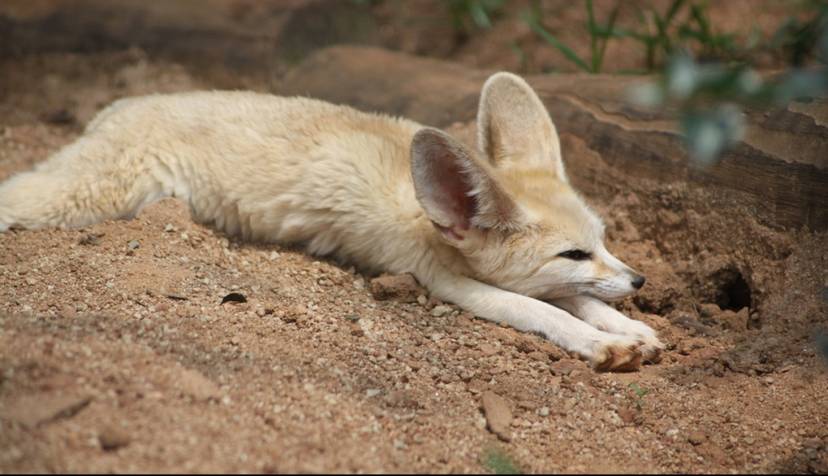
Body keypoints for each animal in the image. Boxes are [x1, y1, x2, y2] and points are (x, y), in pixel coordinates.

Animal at [0, 72, 664, 370]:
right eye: (571, 253)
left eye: (603, 241)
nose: (641, 282)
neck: (425, 213)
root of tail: (121, 104)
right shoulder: (448, 282)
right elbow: (541, 310)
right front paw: (601, 343)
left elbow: (574, 299)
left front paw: (628, 328)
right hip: (89, 195)